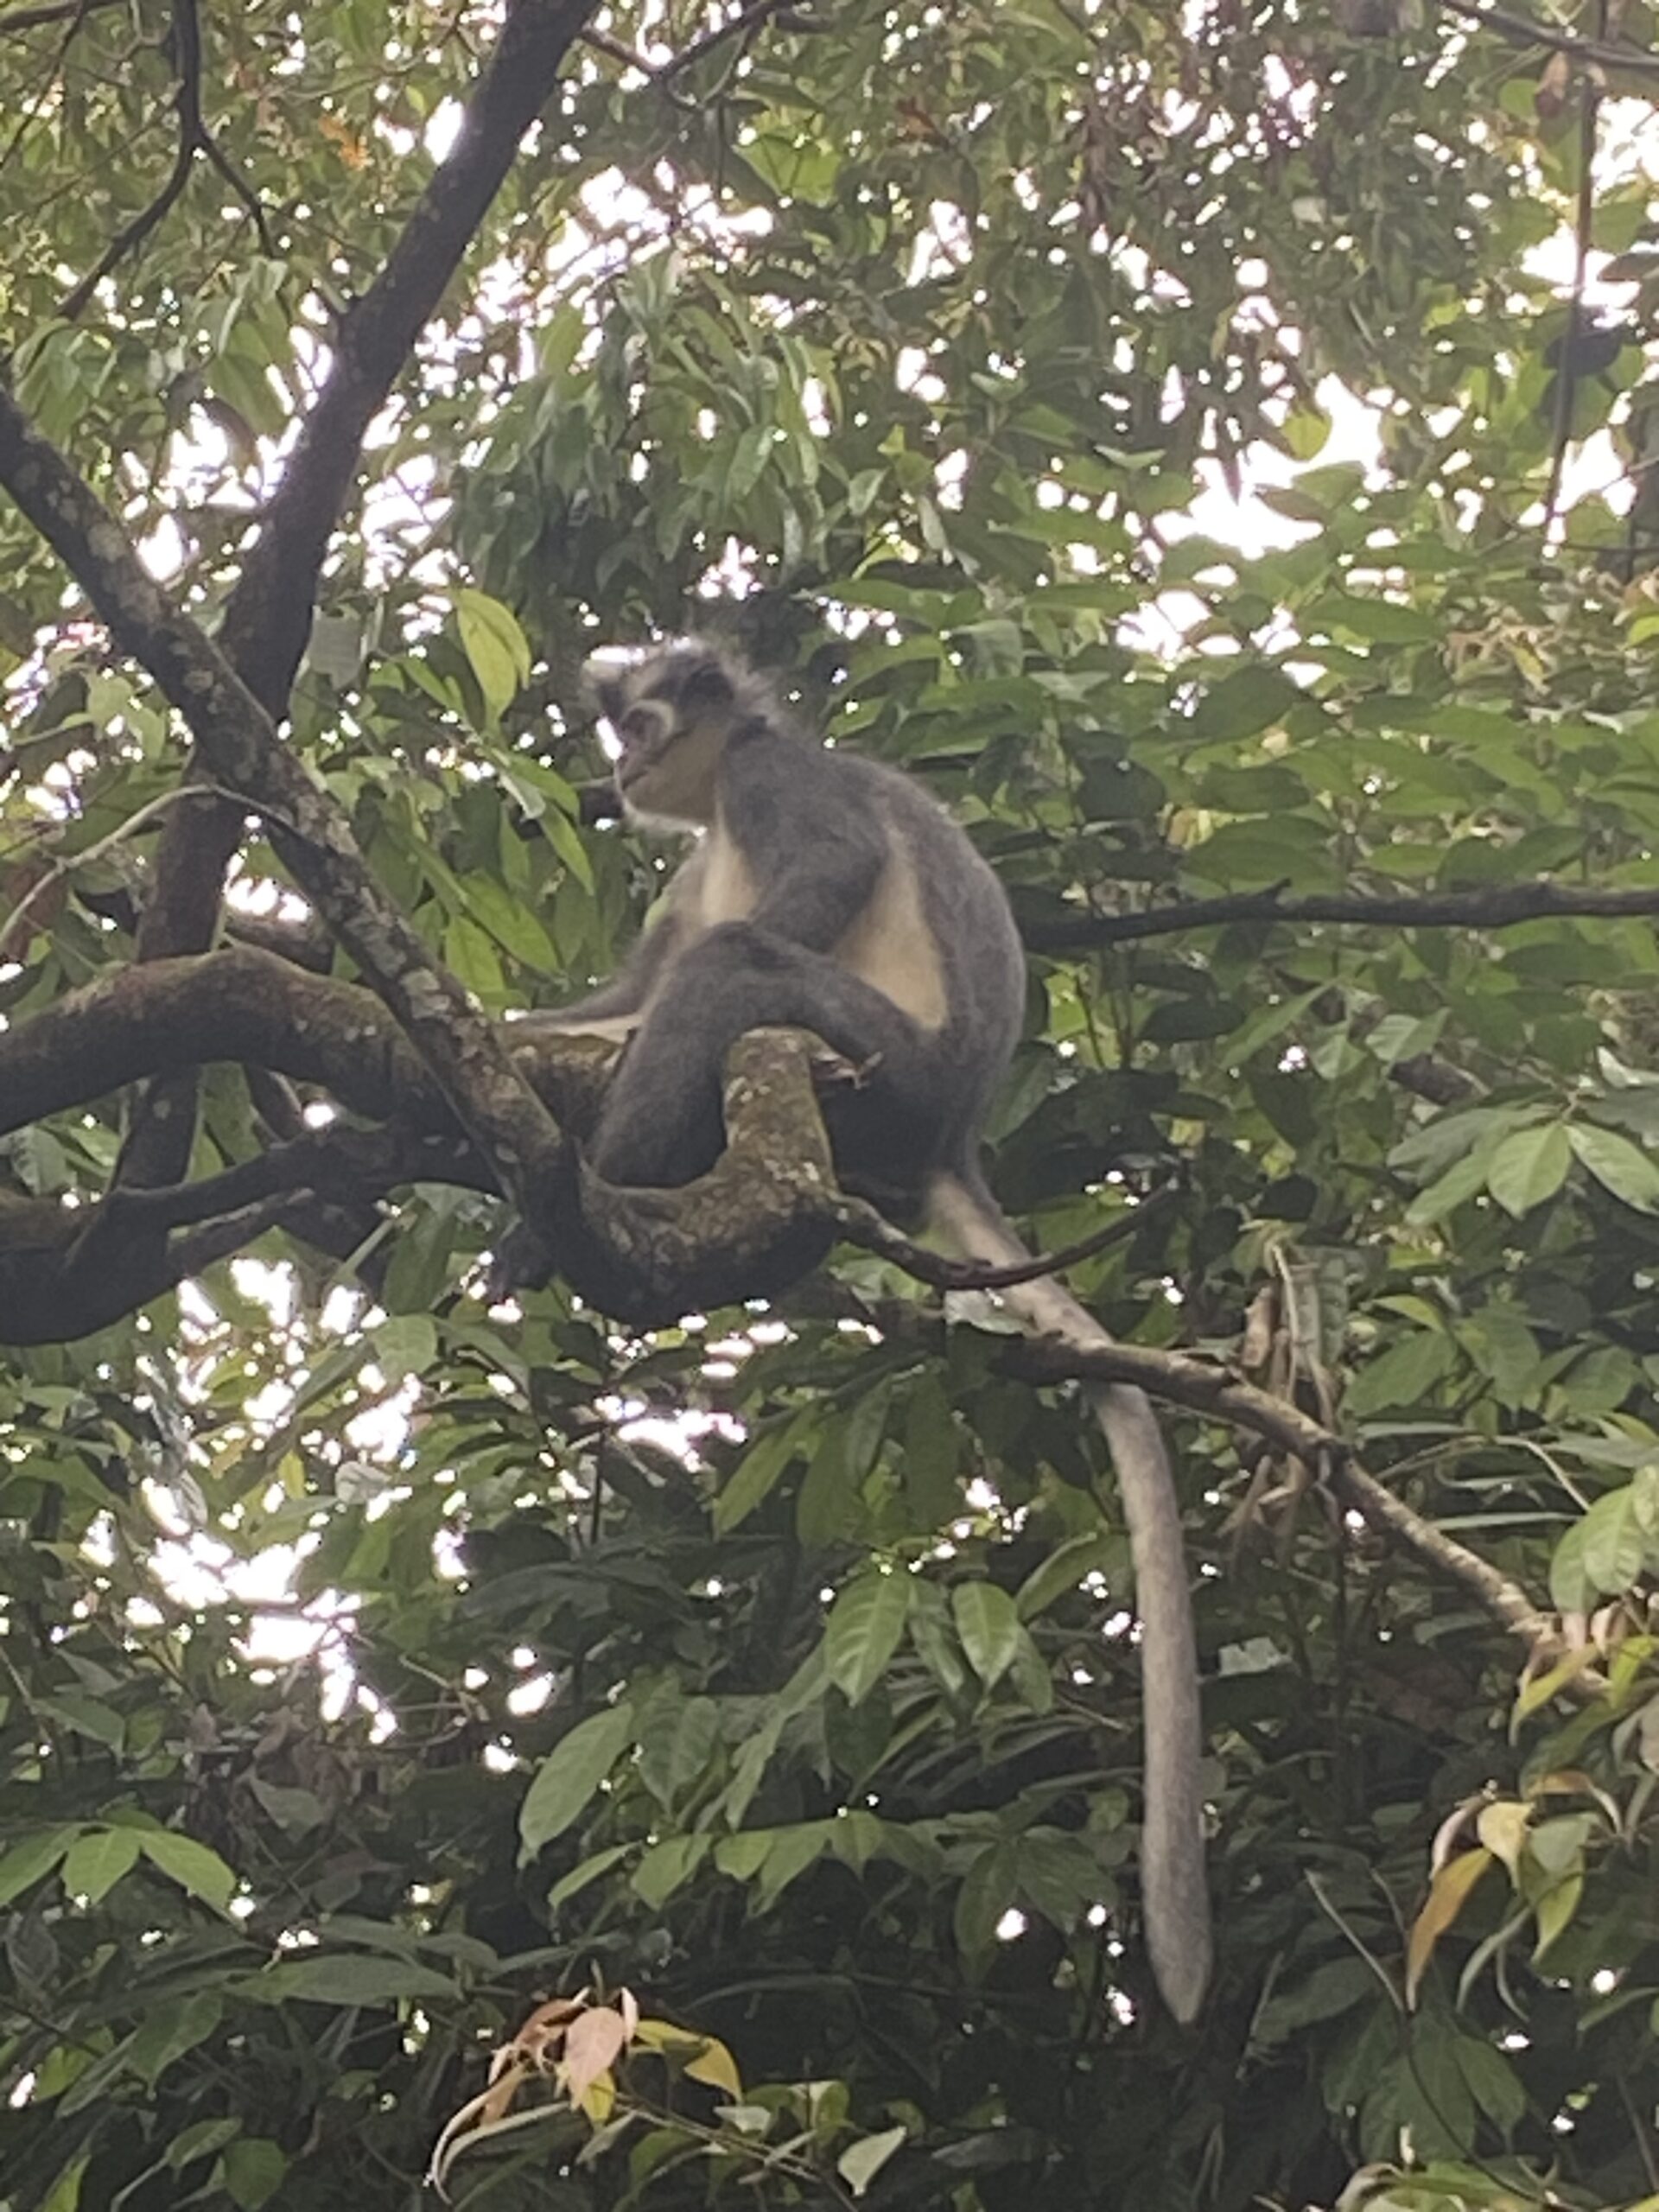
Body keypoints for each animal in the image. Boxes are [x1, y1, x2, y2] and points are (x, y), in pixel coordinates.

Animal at [522, 637, 1211, 2023]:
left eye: (641, 722)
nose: (618, 769)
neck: (722, 795)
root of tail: (955, 1130)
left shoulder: (777, 782)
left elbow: (803, 890)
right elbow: (613, 999)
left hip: (890, 1062)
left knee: (738, 966)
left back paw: (616, 1190)